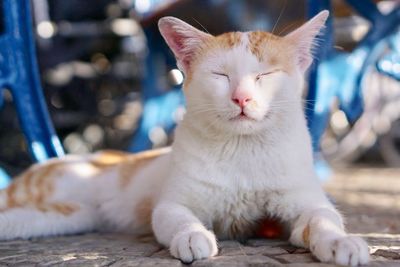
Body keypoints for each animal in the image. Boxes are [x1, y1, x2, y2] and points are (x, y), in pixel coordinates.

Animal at [0, 9, 368, 266]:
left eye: (264, 75)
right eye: (220, 75)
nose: (242, 98)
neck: (243, 150)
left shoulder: (307, 202)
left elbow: (322, 220)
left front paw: (342, 242)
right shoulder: (170, 205)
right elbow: (180, 220)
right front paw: (193, 238)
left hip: (64, 216)